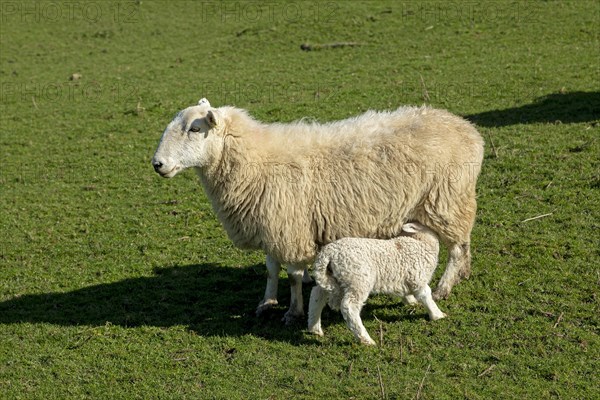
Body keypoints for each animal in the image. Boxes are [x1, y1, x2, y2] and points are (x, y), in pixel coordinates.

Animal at [152, 98, 486, 324]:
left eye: (195, 129)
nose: (157, 164)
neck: (254, 160)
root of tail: (467, 129)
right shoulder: (271, 223)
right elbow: (271, 268)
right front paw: (267, 302)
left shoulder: (290, 226)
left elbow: (293, 275)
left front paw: (293, 311)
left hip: (447, 200)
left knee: (458, 246)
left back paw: (444, 288)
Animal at [310, 220, 446, 346]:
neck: (420, 243)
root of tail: (328, 253)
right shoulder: (417, 279)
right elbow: (426, 295)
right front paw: (438, 315)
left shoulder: (405, 278)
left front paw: (411, 301)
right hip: (358, 280)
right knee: (349, 306)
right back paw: (366, 339)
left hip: (330, 276)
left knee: (317, 294)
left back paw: (314, 328)